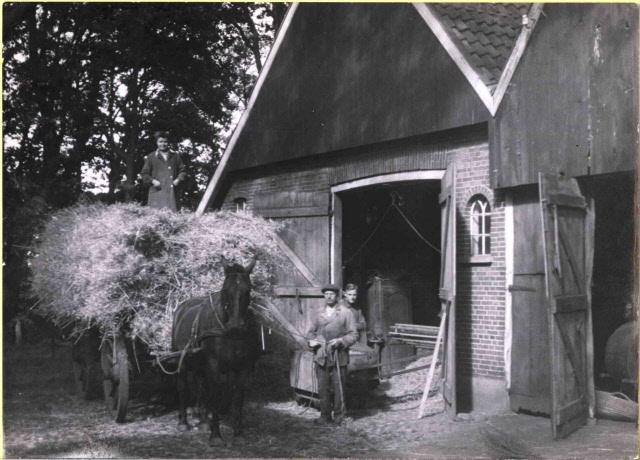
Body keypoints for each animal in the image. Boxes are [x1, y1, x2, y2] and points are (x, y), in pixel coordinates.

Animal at [171, 255, 262, 446]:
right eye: (225, 290)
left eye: (248, 290)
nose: (236, 326)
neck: (230, 334)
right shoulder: (213, 365)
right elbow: (214, 394)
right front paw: (216, 435)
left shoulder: (243, 367)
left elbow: (238, 397)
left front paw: (238, 432)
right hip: (181, 360)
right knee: (182, 386)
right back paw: (183, 422)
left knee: (202, 387)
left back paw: (203, 421)